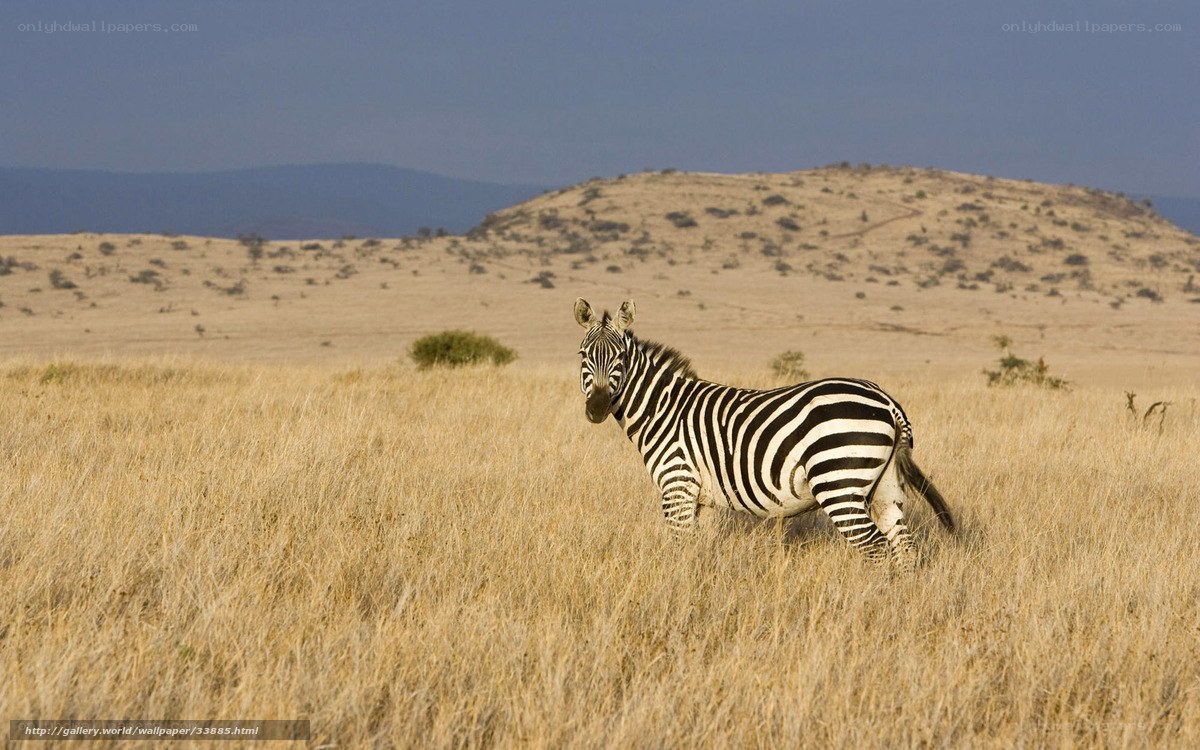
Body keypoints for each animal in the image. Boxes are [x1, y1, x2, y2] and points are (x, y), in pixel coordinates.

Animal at [573, 297, 954, 568]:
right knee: (904, 547)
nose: (597, 408)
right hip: (885, 487)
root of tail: (887, 401)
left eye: (620, 357)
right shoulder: (702, 499)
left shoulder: (677, 486)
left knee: (874, 548)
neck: (664, 409)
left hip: (839, 482)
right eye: (583, 355)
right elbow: (699, 551)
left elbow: (681, 550)